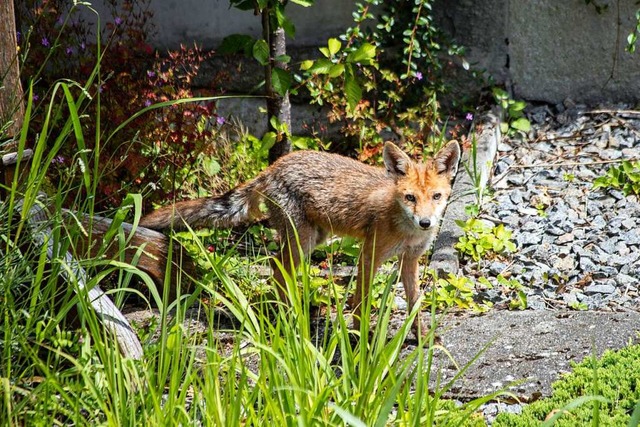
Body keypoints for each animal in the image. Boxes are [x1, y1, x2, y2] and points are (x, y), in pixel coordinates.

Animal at [140, 142, 460, 340]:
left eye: (436, 196)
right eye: (410, 198)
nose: (426, 223)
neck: (405, 229)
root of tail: (273, 166)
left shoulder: (410, 260)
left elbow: (415, 303)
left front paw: (421, 337)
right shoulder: (369, 255)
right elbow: (360, 301)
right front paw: (361, 339)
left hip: (314, 239)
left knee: (279, 269)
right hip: (301, 241)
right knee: (276, 269)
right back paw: (290, 318)